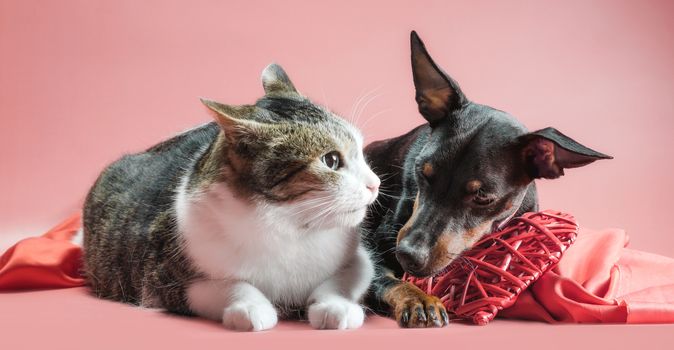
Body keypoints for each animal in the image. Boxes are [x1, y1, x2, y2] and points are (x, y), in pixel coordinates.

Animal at [80, 63, 378, 330]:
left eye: (361, 151)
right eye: (331, 160)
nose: (374, 184)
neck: (289, 224)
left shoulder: (361, 259)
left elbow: (341, 280)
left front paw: (336, 307)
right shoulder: (163, 278)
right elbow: (229, 285)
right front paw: (251, 307)